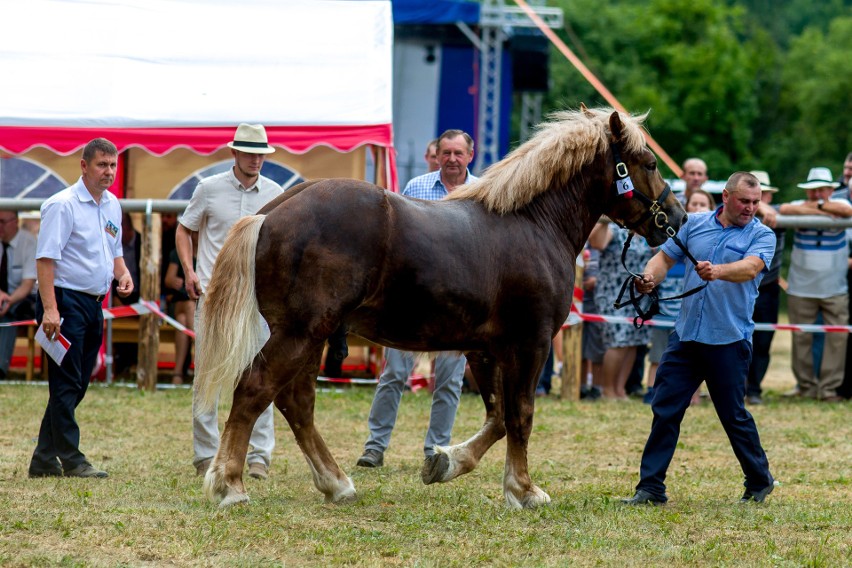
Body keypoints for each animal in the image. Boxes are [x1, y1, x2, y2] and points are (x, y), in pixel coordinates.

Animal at [193, 106, 684, 506]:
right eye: (650, 163)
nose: (676, 219)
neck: (532, 223)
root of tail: (270, 213)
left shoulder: (484, 349)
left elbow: (498, 417)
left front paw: (446, 462)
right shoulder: (530, 343)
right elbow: (521, 415)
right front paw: (524, 490)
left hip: (310, 336)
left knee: (297, 403)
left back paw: (336, 484)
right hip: (300, 332)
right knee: (255, 389)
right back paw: (230, 484)